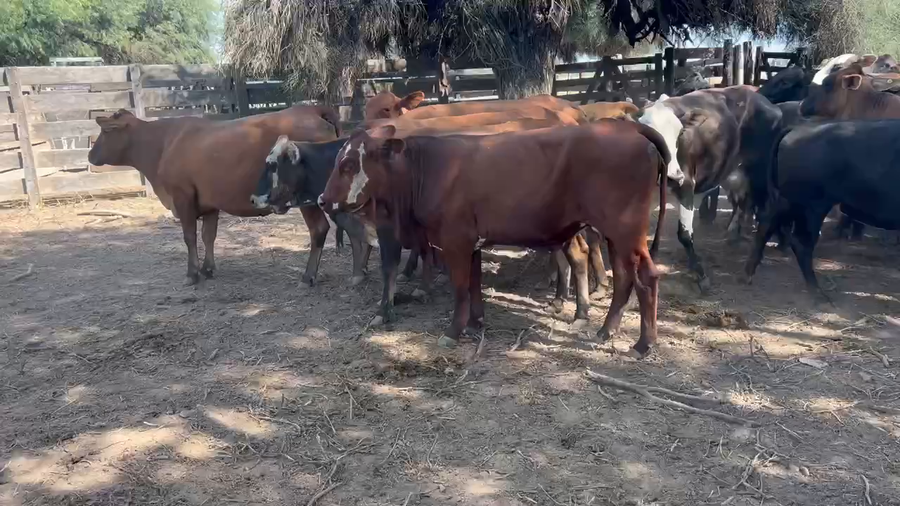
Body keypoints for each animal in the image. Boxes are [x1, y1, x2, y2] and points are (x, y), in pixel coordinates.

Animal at [88, 106, 340, 286]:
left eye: (105, 131)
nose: (90, 155)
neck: (164, 143)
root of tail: (311, 109)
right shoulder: (209, 202)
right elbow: (209, 235)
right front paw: (207, 268)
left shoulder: (182, 196)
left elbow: (189, 236)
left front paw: (192, 274)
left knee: (318, 229)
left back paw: (307, 276)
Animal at [319, 120, 670, 359]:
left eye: (348, 164)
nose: (322, 200)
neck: (426, 170)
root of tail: (629, 129)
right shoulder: (471, 243)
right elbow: (474, 285)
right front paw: (476, 323)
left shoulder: (455, 241)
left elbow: (461, 288)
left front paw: (453, 331)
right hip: (615, 235)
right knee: (623, 277)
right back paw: (605, 330)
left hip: (626, 231)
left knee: (646, 277)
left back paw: (643, 344)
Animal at [638, 87, 783, 291]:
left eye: (679, 134)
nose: (672, 175)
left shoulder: (686, 183)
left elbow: (684, 234)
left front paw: (701, 275)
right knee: (743, 203)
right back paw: (734, 238)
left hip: (761, 173)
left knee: (767, 214)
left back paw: (748, 270)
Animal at [744, 120, 900, 301]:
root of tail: (799, 129)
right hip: (811, 207)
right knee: (800, 242)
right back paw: (817, 293)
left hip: (791, 204)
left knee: (768, 226)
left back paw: (748, 275)